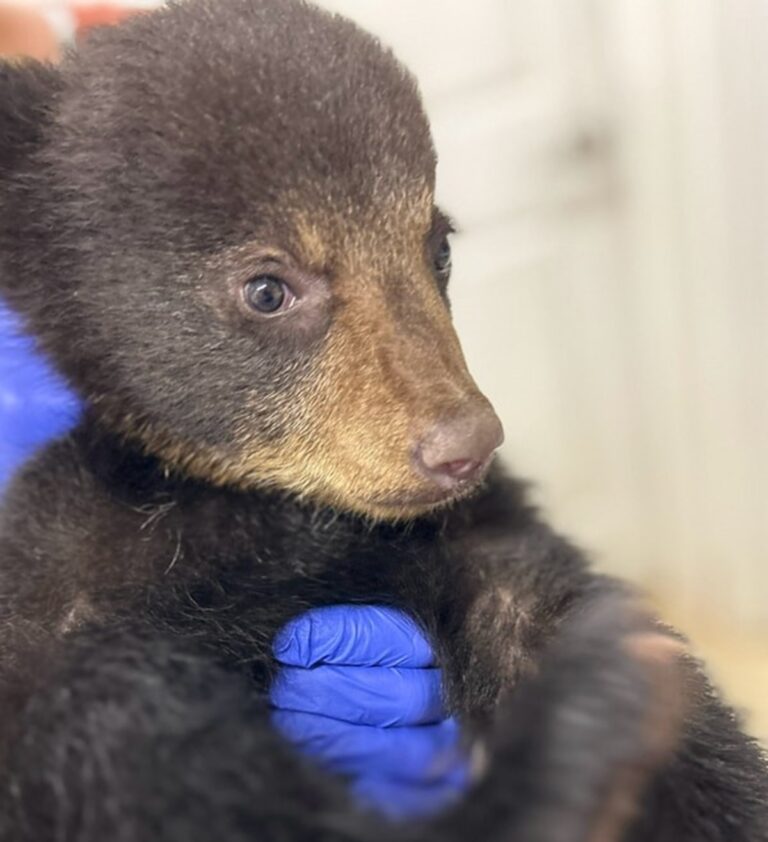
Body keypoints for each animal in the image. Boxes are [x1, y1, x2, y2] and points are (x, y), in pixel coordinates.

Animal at [0, 0, 766, 840]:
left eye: (439, 248)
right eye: (267, 289)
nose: (467, 445)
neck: (277, 511)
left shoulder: (475, 534)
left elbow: (540, 615)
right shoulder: (56, 575)